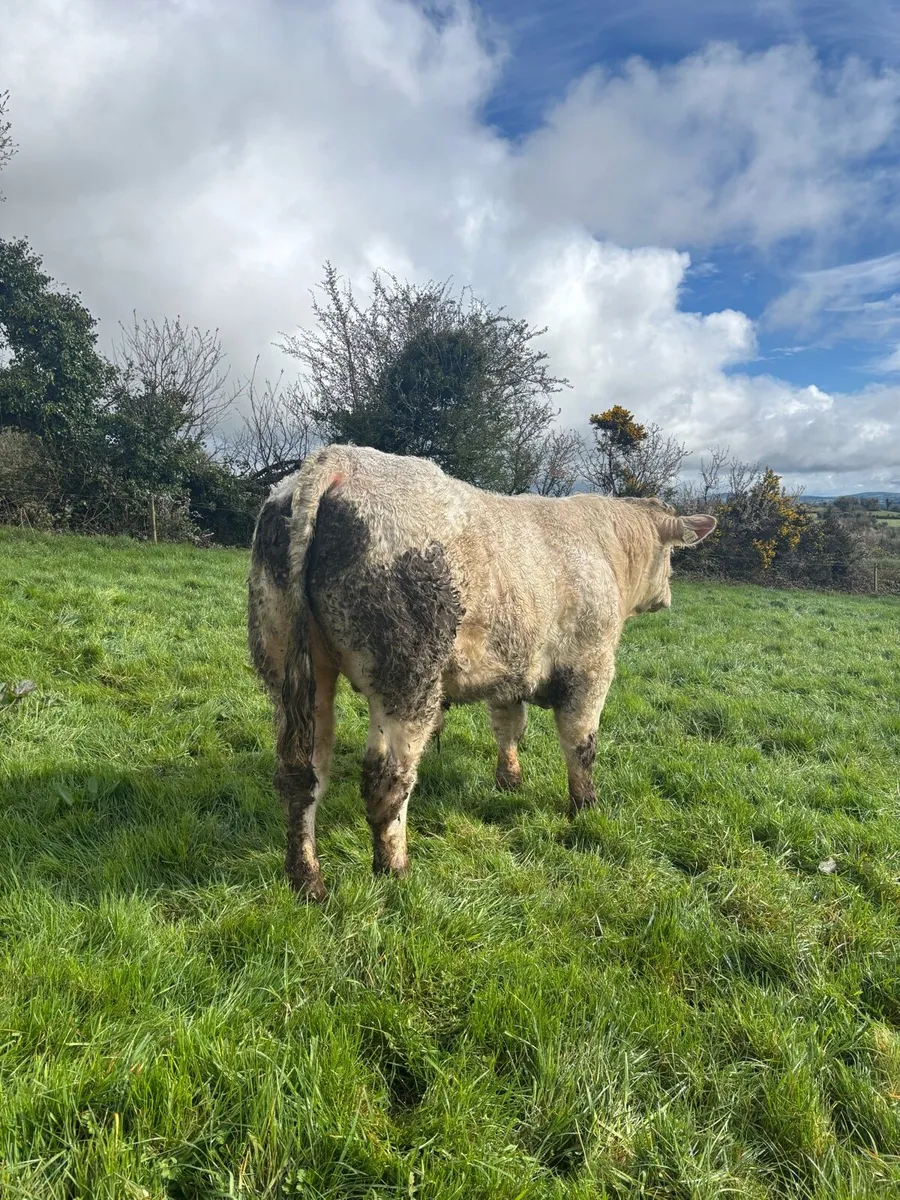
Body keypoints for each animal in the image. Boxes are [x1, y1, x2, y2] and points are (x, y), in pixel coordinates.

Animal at [248, 445, 716, 900]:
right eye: (670, 553)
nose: (667, 597)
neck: (603, 549)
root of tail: (337, 459)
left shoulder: (509, 671)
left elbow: (508, 727)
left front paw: (509, 781)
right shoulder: (591, 667)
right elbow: (580, 745)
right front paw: (585, 807)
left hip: (293, 671)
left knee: (301, 774)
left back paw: (307, 880)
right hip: (408, 681)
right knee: (386, 781)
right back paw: (394, 871)